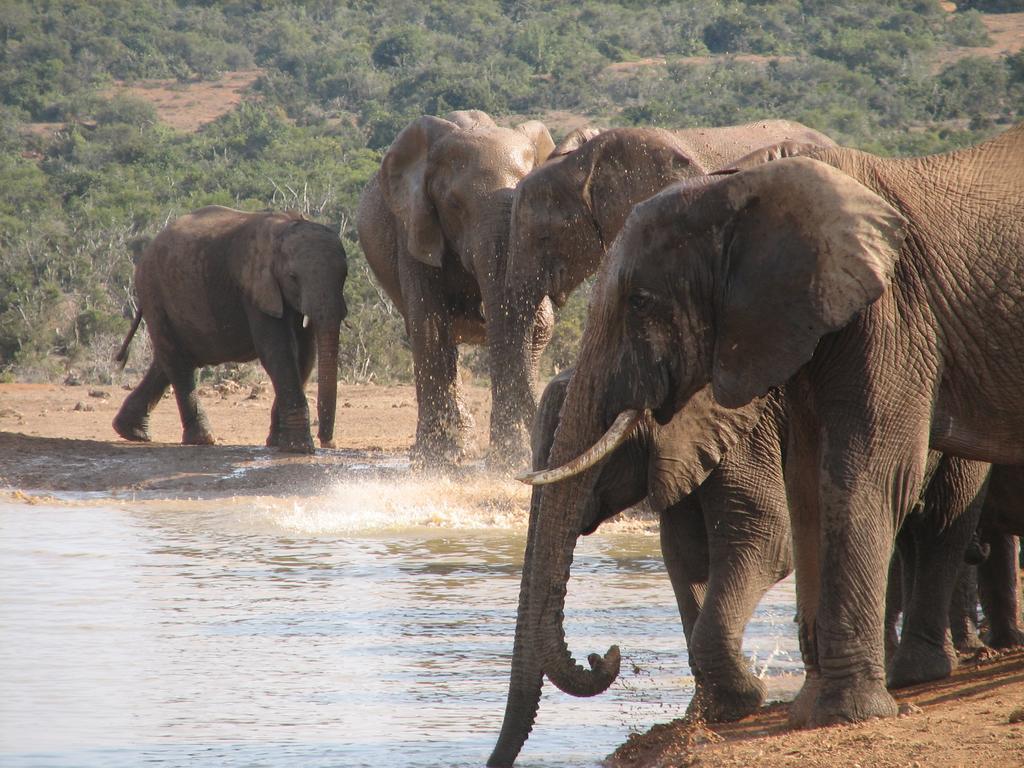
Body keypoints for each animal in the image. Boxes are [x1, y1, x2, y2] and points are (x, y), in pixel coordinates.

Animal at [110, 207, 346, 454]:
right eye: (293, 277)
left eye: (344, 276)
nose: (328, 442)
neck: (285, 225)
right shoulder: (255, 289)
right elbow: (278, 352)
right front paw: (298, 448)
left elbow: (305, 355)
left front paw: (277, 443)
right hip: (154, 293)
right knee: (177, 361)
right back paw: (202, 439)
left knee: (169, 360)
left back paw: (132, 432)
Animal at [356, 110, 557, 466]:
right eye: (453, 205)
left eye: (529, 196)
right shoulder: (412, 226)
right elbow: (430, 325)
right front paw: (441, 459)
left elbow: (537, 326)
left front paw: (511, 460)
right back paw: (447, 452)